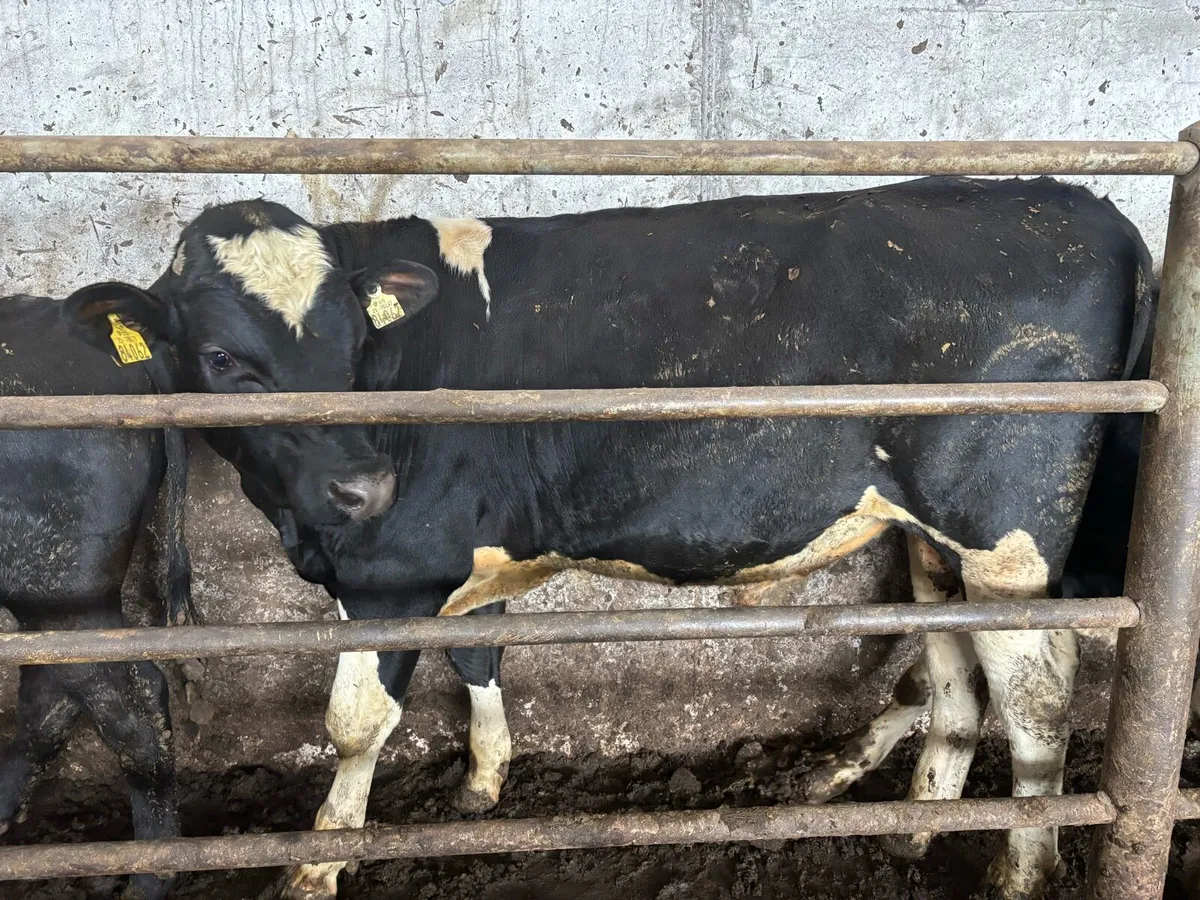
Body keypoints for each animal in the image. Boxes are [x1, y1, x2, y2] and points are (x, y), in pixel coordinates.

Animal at [73, 175, 1153, 900]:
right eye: (222, 358)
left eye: (351, 342)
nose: (365, 484)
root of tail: (1080, 203)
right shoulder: (465, 554)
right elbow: (481, 656)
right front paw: (483, 788)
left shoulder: (388, 574)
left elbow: (354, 725)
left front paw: (317, 865)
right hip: (938, 546)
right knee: (956, 684)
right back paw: (919, 834)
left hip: (1008, 538)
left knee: (1039, 698)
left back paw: (1020, 869)